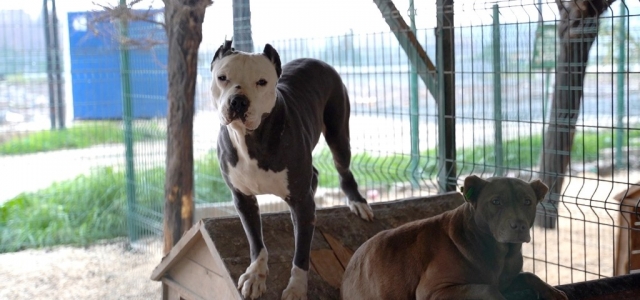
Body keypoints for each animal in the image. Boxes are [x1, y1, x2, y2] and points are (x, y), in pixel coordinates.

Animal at [210, 40, 372, 300]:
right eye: (222, 77)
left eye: (262, 81)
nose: (238, 101)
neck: (251, 139)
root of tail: (315, 59)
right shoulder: (243, 199)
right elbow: (256, 241)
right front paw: (256, 275)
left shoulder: (302, 202)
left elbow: (302, 254)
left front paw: (296, 288)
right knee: (314, 175)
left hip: (338, 133)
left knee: (343, 169)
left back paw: (357, 201)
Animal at [342, 176, 568, 300]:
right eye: (495, 201)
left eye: (527, 201)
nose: (519, 225)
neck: (502, 253)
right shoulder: (433, 291)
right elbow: (487, 289)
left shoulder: (508, 279)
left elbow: (529, 275)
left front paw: (552, 292)